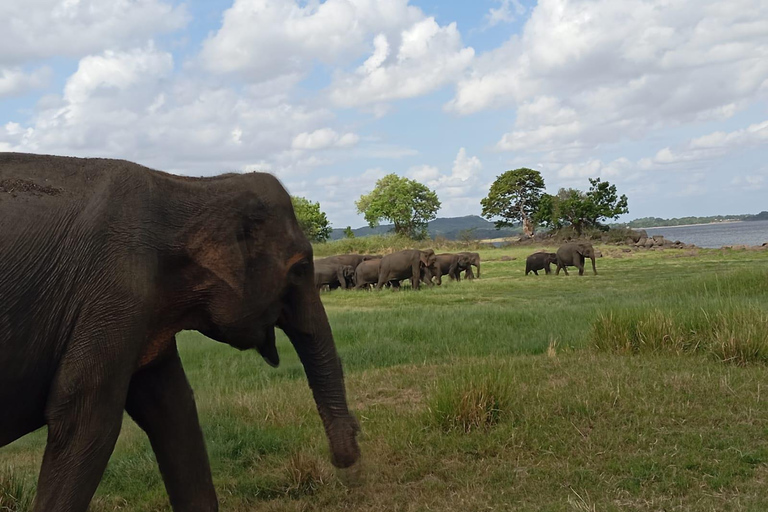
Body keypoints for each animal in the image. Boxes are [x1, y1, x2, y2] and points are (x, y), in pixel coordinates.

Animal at [0, 153, 360, 512]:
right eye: (300, 269)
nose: (350, 451)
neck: (191, 186)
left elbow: (173, 410)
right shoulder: (115, 292)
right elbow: (84, 419)